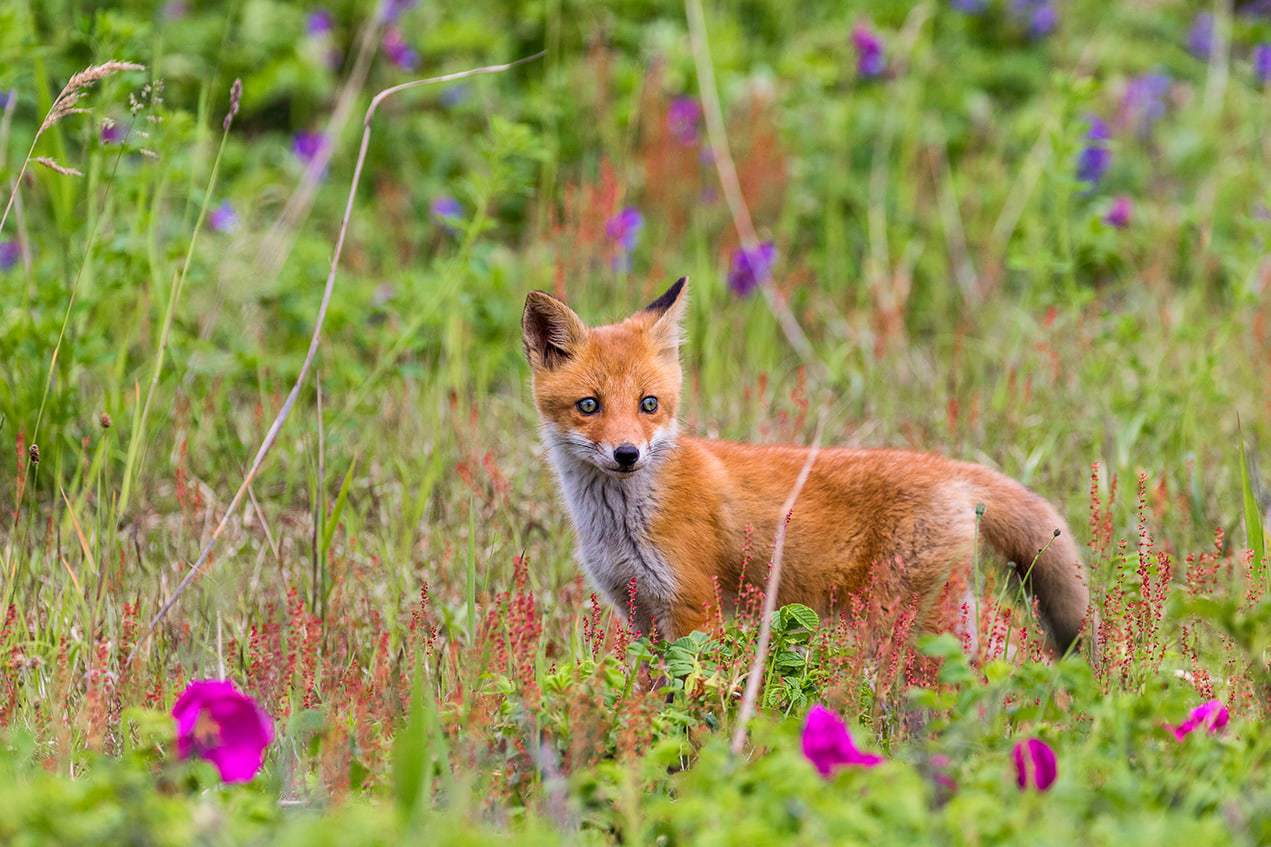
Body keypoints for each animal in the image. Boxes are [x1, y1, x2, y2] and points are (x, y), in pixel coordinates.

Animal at [523, 277, 1093, 651]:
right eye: (589, 405)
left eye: (649, 404)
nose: (627, 454)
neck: (620, 522)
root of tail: (946, 468)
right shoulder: (639, 611)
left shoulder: (693, 607)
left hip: (908, 624)